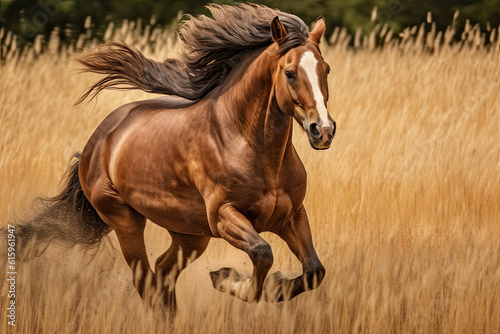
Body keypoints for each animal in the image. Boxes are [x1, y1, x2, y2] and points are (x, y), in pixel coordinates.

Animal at [63, 3, 336, 310]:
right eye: (289, 73)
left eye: (326, 69)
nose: (323, 130)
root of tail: (96, 142)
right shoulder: (223, 215)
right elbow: (262, 252)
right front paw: (226, 279)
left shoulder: (292, 216)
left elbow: (314, 271)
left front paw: (273, 286)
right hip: (125, 220)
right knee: (145, 280)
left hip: (190, 235)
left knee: (163, 273)